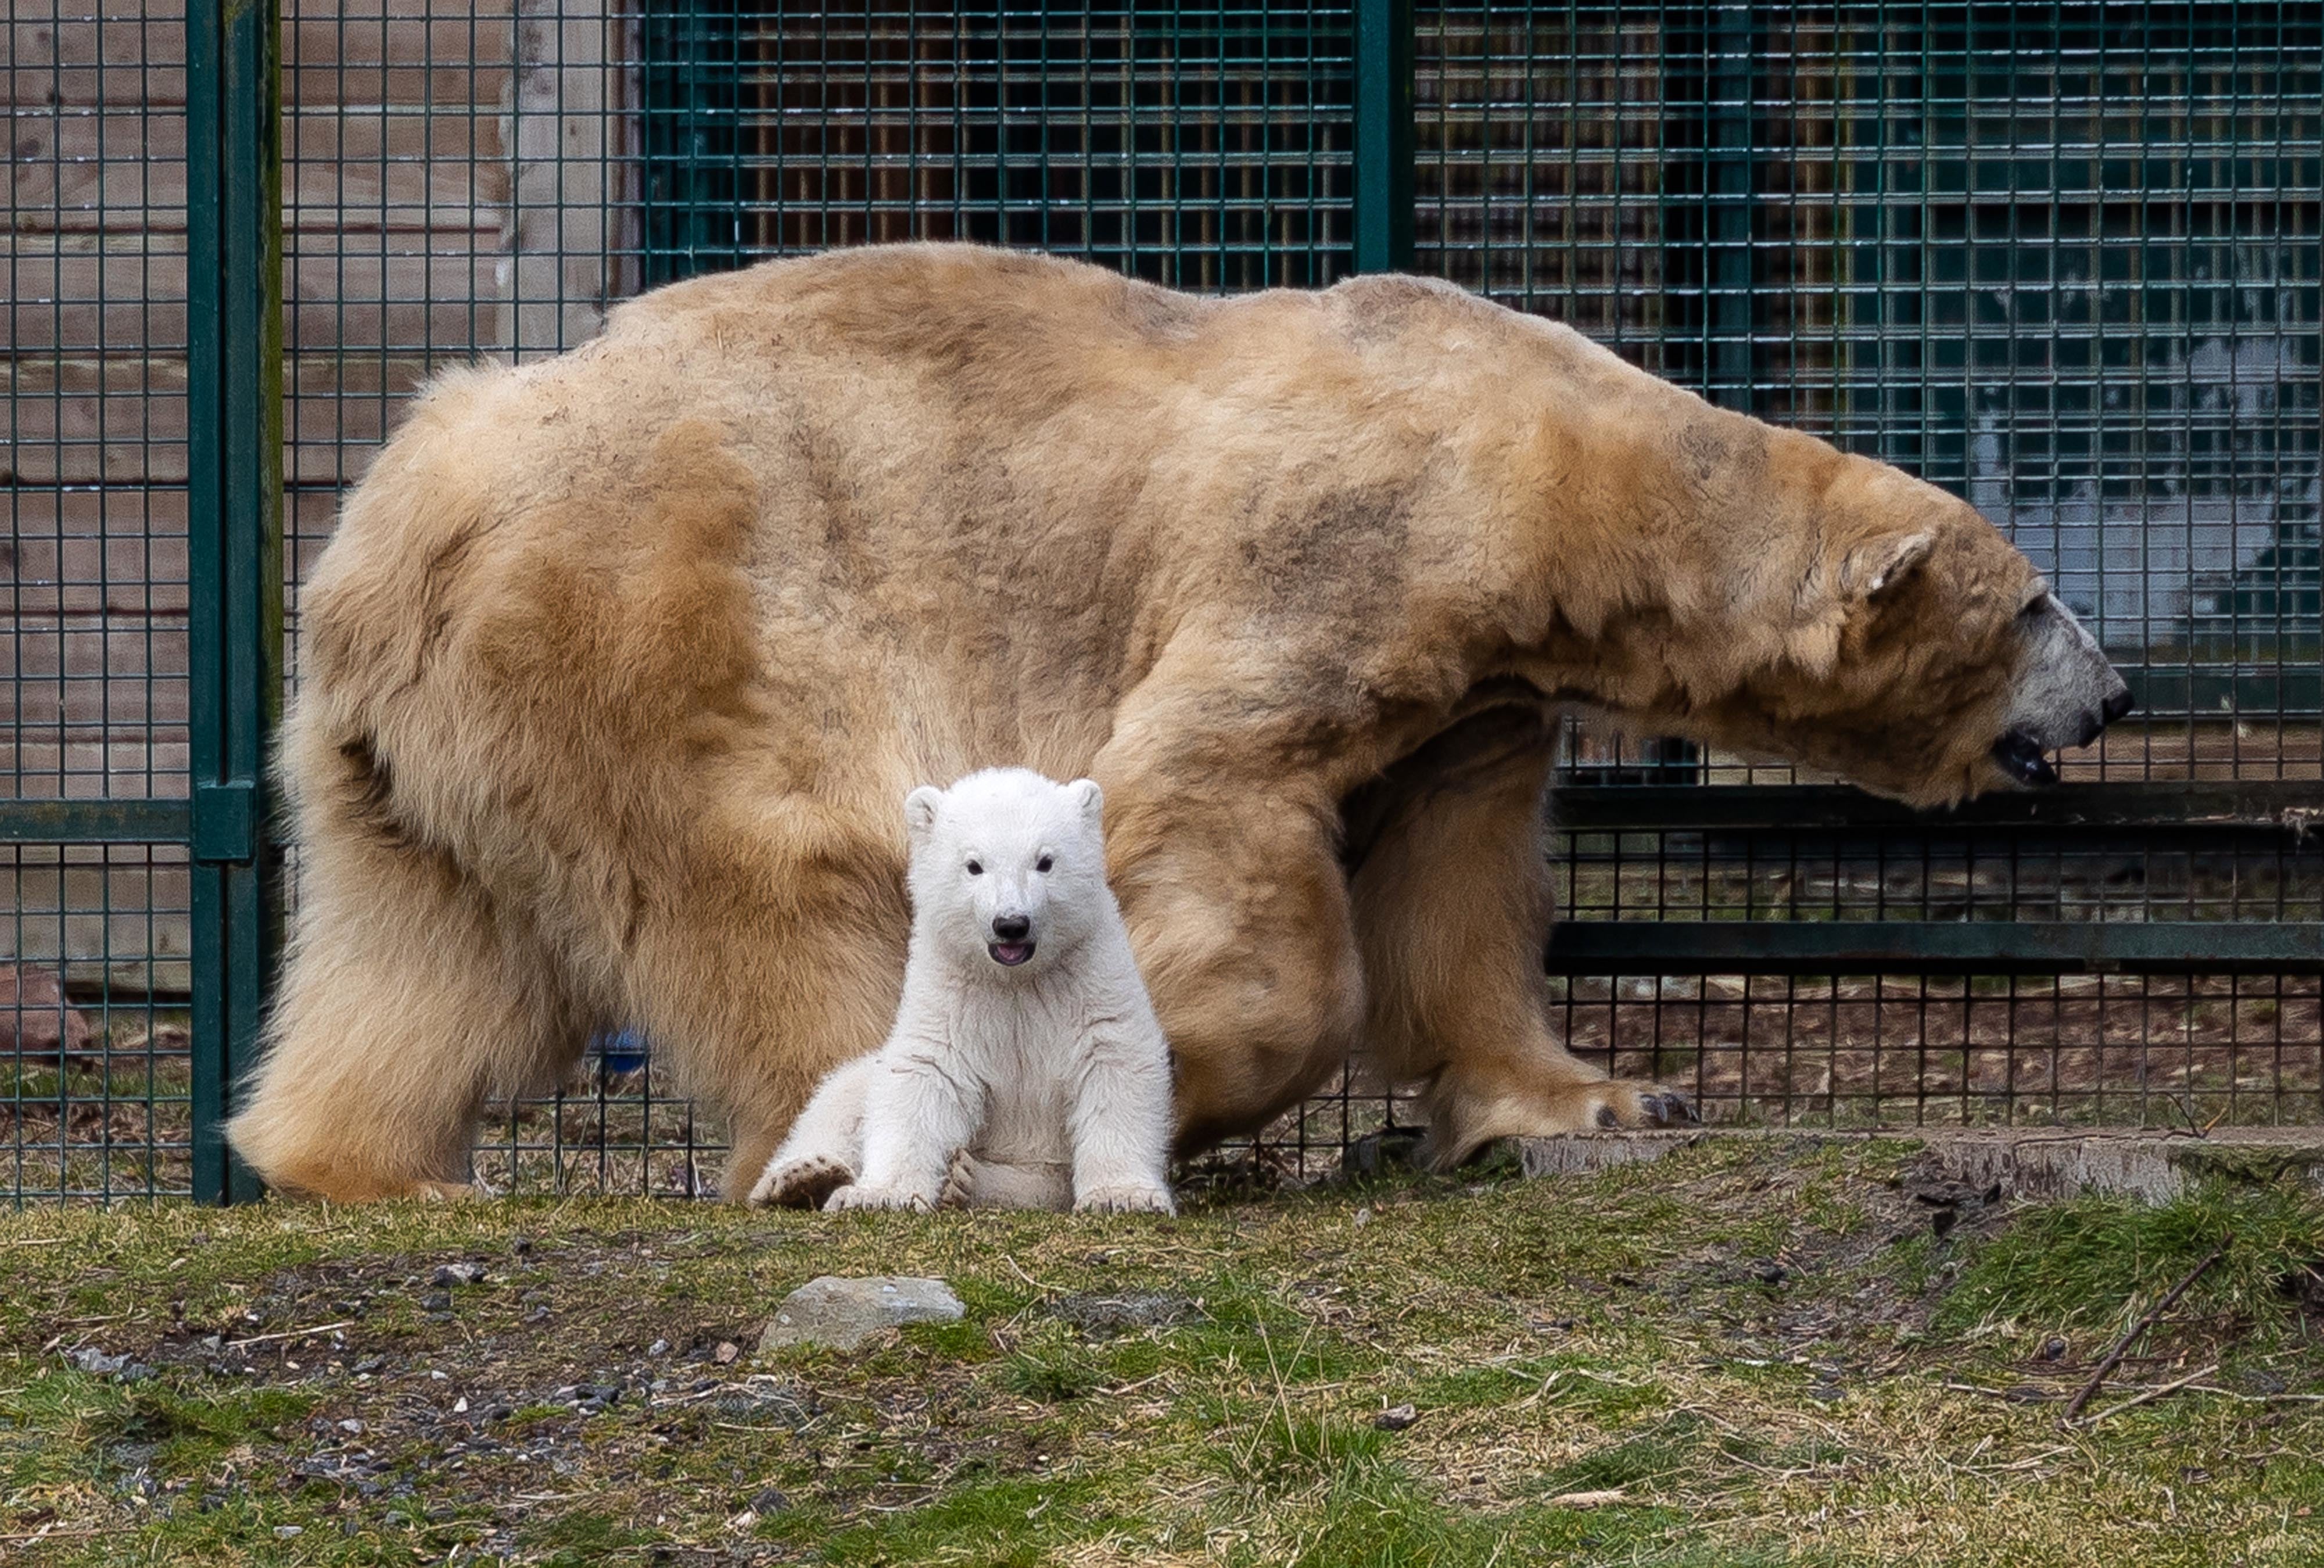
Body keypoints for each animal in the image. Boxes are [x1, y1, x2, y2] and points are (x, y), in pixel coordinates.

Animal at [227, 245, 2129, 1199]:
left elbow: (1456, 888)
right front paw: (1193, 1086)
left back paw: (359, 1164)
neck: (1545, 474)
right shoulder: (1335, 553)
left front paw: (1589, 1099)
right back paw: (851, 1144)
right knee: (785, 878)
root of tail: (411, 500)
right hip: (675, 615)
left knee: (426, 947)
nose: (2117, 693)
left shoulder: (1475, 683)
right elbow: (1203, 789)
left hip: (423, 737)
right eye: (2035, 600)